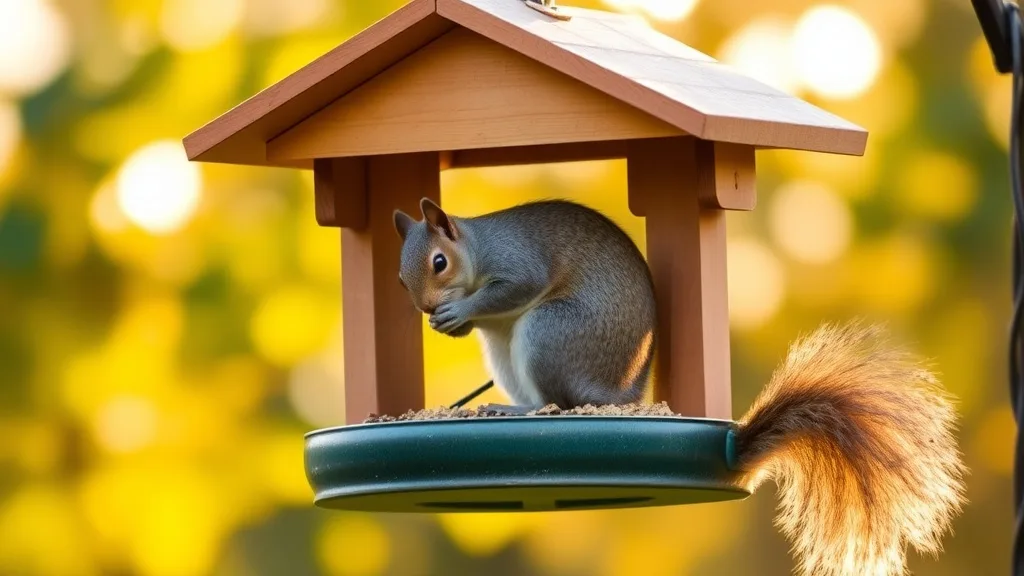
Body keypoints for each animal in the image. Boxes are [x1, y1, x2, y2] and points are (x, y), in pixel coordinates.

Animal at [394, 199, 966, 576]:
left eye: (439, 262)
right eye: (400, 278)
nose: (424, 308)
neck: (477, 250)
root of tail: (619, 394)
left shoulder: (517, 263)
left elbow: (514, 287)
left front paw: (459, 310)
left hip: (549, 332)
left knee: (558, 401)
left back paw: (522, 411)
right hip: (507, 351)